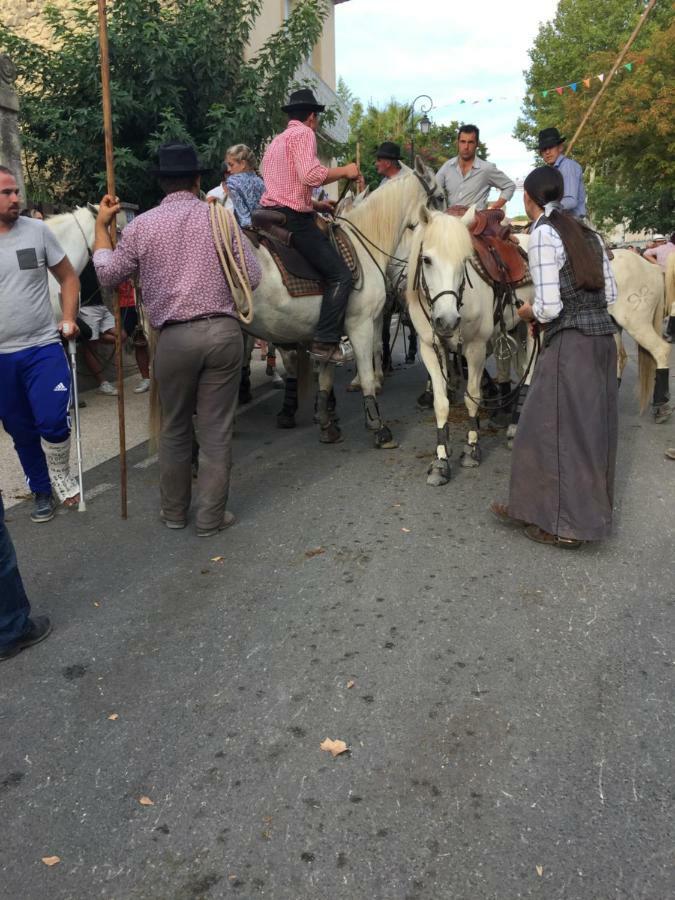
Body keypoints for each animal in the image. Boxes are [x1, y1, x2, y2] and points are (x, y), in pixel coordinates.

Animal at [246, 160, 446, 448]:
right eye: (439, 196)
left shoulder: (325, 330)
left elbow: (325, 378)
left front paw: (327, 424)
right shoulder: (360, 324)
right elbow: (366, 373)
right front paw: (378, 427)